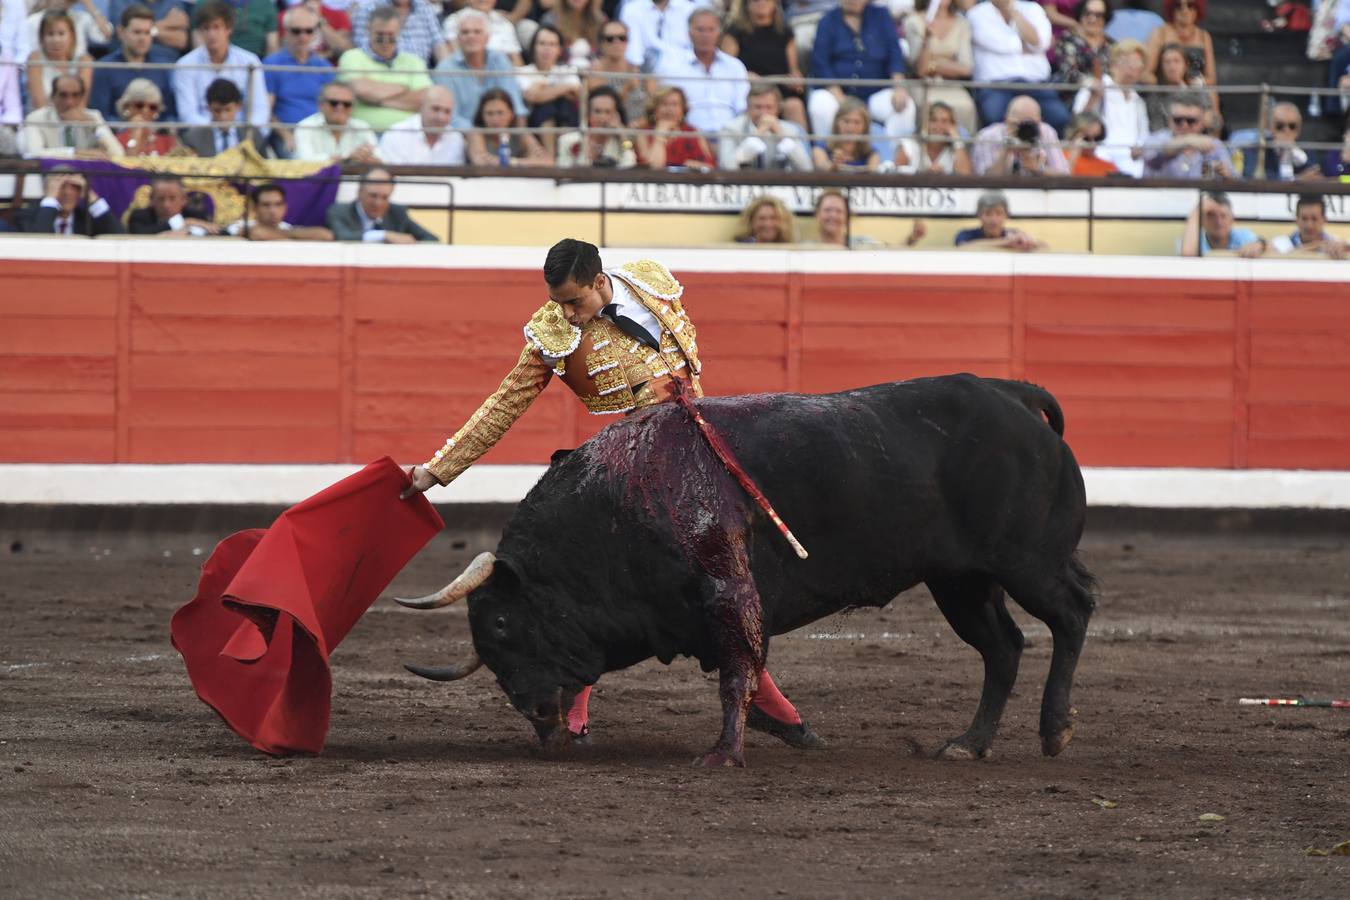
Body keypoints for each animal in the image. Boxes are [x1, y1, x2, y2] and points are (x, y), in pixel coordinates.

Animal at [399, 372, 1096, 766]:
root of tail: (1013, 395)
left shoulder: (728, 589)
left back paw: (1056, 730)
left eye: (503, 624)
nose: (536, 714)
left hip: (1027, 562)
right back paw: (969, 743)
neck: (620, 501)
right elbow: (744, 668)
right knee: (1002, 646)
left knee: (1073, 610)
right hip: (960, 580)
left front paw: (724, 754)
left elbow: (737, 671)